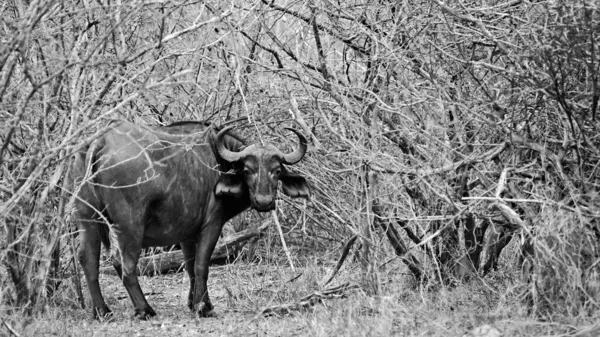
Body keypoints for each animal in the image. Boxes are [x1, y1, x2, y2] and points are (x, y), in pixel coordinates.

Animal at [71, 120, 310, 318]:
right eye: (247, 170)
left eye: (276, 171)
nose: (264, 202)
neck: (218, 162)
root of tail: (101, 140)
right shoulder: (211, 225)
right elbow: (201, 265)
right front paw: (204, 307)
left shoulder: (186, 234)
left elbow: (190, 266)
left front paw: (194, 302)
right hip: (130, 225)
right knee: (125, 263)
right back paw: (144, 309)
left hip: (87, 220)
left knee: (88, 259)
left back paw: (102, 311)